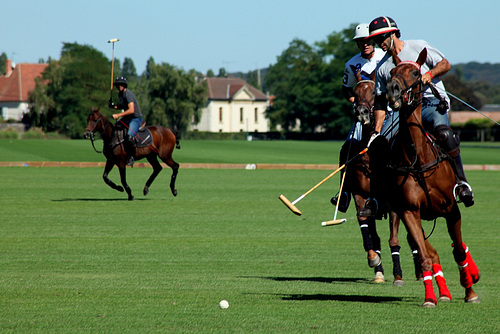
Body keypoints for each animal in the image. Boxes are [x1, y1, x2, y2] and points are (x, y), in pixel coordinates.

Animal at [344, 70, 454, 298]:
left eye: (372, 93)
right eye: (355, 93)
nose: (362, 113)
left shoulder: (394, 205)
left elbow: (394, 240)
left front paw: (398, 276)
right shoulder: (361, 197)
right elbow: (369, 233)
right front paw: (375, 262)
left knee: (412, 238)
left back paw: (420, 273)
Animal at [382, 48, 480, 306]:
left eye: (416, 73)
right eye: (392, 72)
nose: (393, 89)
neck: (420, 159)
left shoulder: (451, 210)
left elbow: (458, 251)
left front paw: (470, 292)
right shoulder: (409, 212)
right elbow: (426, 256)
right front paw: (430, 298)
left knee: (459, 247)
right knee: (432, 251)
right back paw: (443, 293)